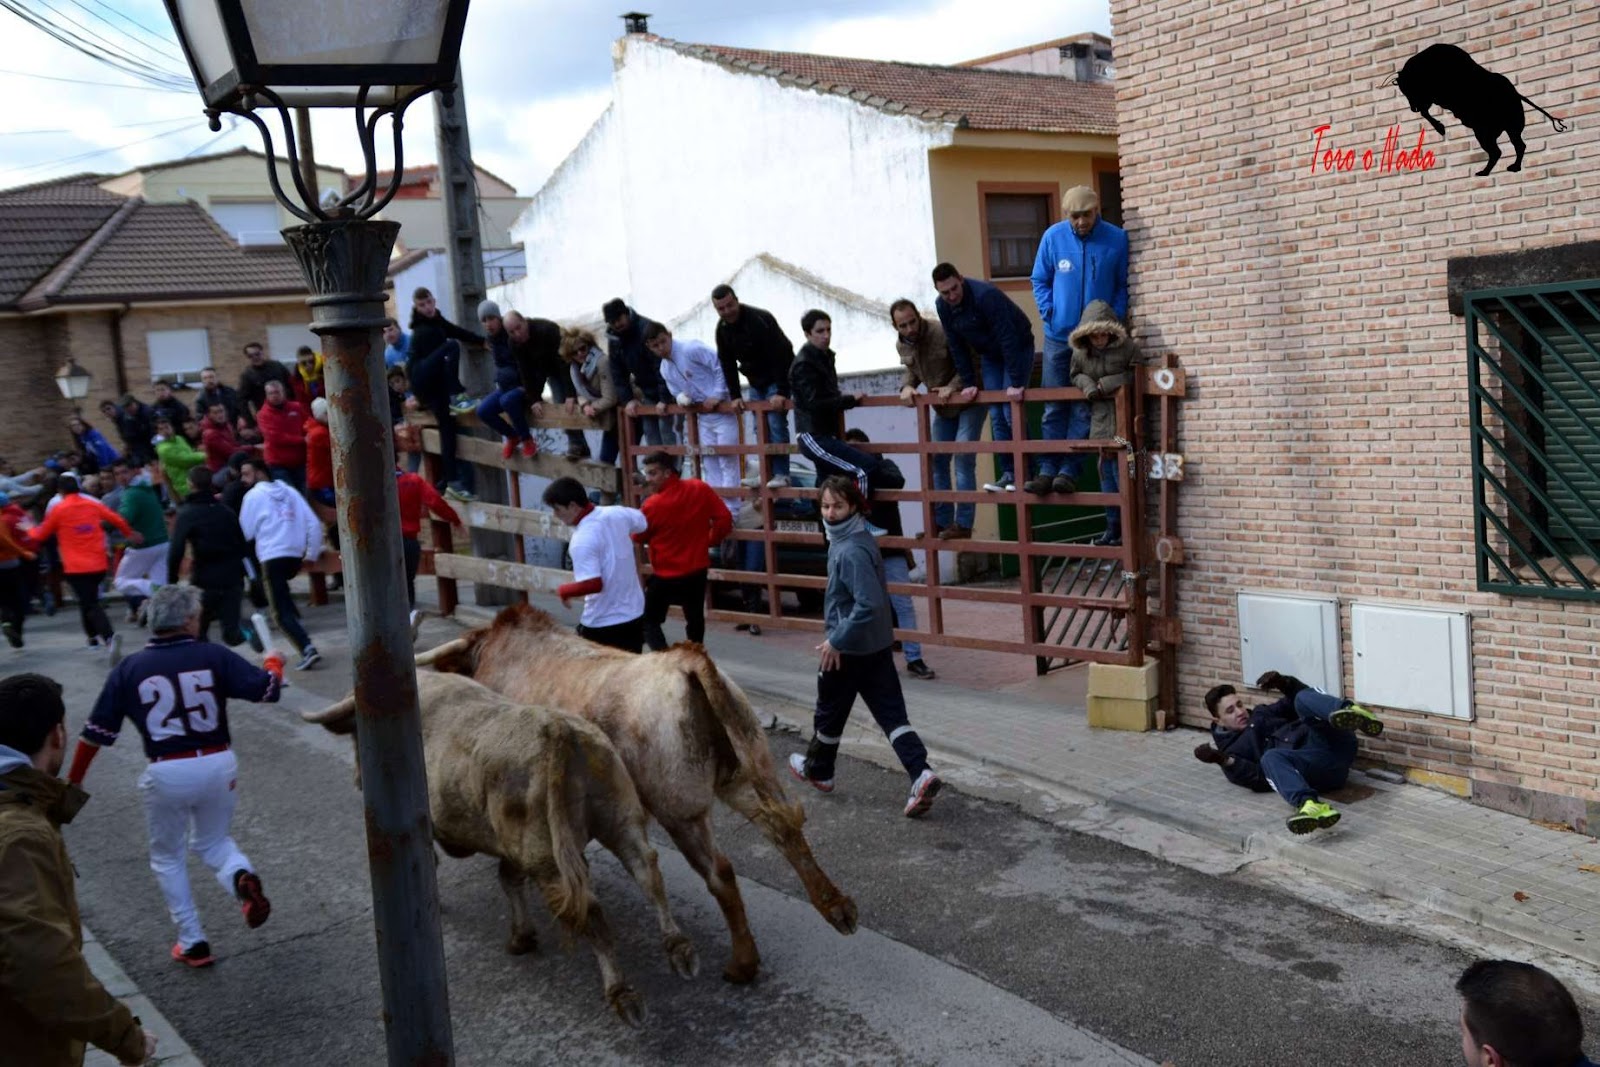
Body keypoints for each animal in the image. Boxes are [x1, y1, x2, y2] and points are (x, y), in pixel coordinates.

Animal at [303, 670, 698, 1025]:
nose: (359, 778)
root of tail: (558, 730)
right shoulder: (514, 849)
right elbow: (508, 879)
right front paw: (522, 936)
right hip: (619, 818)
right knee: (647, 873)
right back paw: (680, 950)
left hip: (546, 857)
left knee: (592, 914)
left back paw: (622, 994)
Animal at [415, 603, 859, 984]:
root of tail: (685, 661)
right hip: (747, 771)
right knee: (784, 828)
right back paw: (836, 907)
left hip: (678, 807)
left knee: (720, 871)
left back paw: (742, 963)